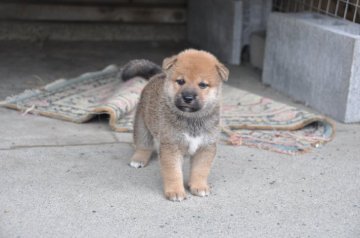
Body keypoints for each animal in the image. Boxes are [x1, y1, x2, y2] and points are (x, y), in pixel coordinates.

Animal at [125, 49, 229, 202]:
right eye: (180, 81)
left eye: (202, 85)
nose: (188, 98)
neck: (191, 119)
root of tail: (158, 75)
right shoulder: (171, 146)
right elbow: (173, 173)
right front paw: (175, 191)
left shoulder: (206, 147)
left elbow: (200, 170)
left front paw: (199, 186)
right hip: (142, 124)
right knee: (143, 145)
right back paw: (138, 159)